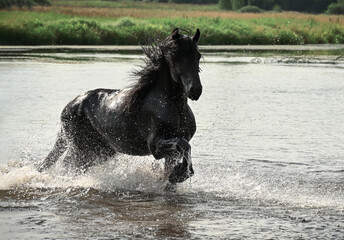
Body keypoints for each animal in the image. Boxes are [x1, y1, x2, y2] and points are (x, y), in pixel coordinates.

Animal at [38, 28, 202, 186]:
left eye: (198, 56)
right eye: (176, 55)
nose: (195, 90)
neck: (173, 107)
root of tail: (70, 106)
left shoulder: (172, 151)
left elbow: (182, 155)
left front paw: (177, 174)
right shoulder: (155, 145)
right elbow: (184, 145)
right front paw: (179, 173)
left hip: (98, 152)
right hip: (82, 149)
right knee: (68, 166)